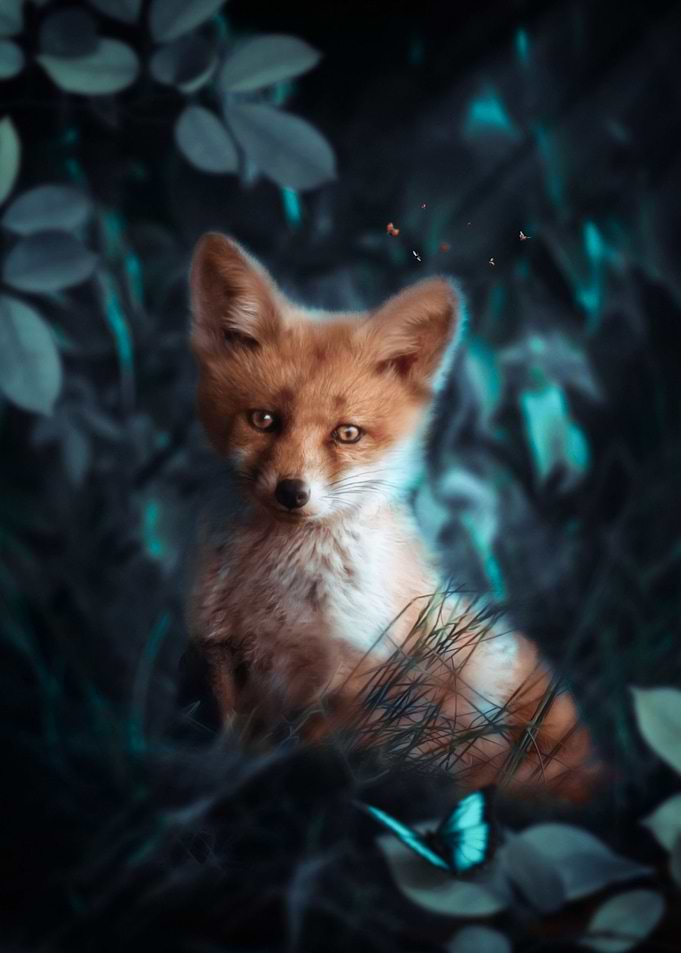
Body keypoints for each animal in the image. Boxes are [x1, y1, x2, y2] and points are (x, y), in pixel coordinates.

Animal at [185, 232, 600, 801]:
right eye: (263, 420)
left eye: (347, 433)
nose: (292, 493)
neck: (285, 599)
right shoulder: (223, 653)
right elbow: (231, 752)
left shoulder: (354, 673)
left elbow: (322, 757)